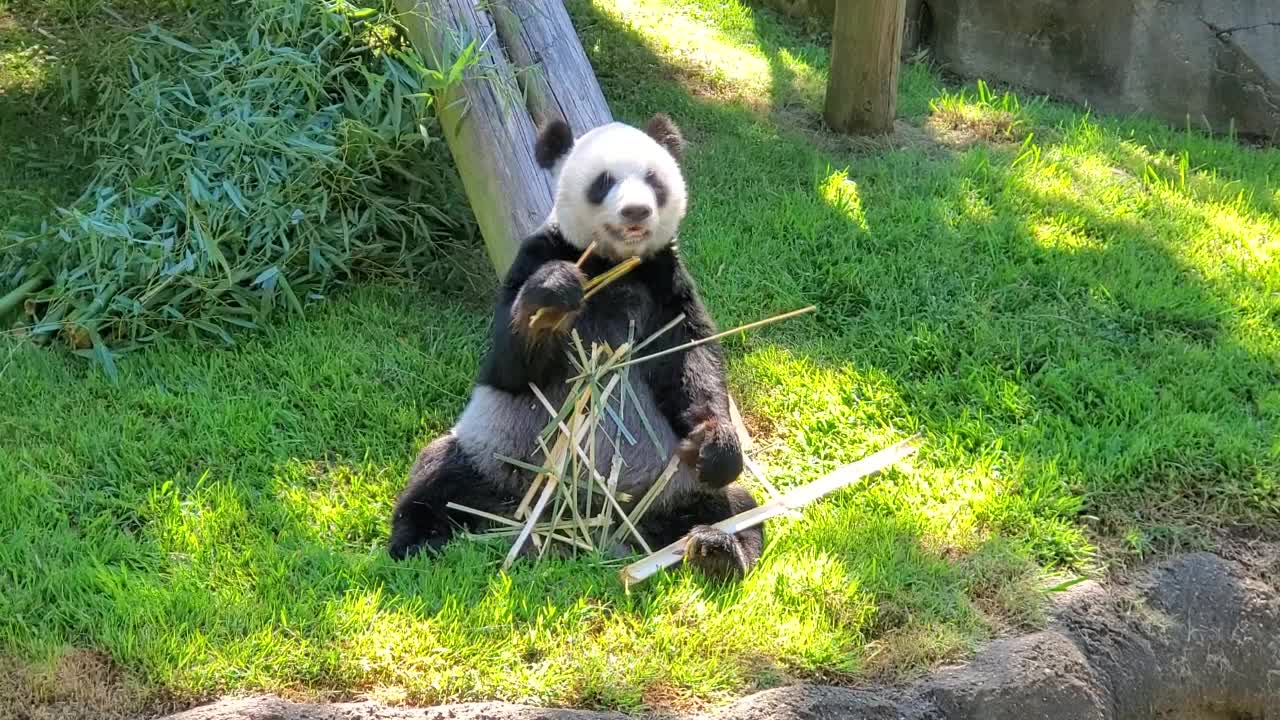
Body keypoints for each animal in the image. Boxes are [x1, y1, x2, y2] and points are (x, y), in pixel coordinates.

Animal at [378, 113, 757, 576]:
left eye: (653, 179)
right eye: (603, 182)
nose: (636, 210)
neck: (611, 263)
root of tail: (579, 527)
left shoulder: (664, 278)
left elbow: (692, 359)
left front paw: (717, 444)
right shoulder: (537, 254)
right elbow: (507, 365)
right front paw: (554, 293)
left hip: (673, 485)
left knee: (736, 507)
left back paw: (718, 549)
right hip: (496, 455)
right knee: (436, 477)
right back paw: (414, 544)